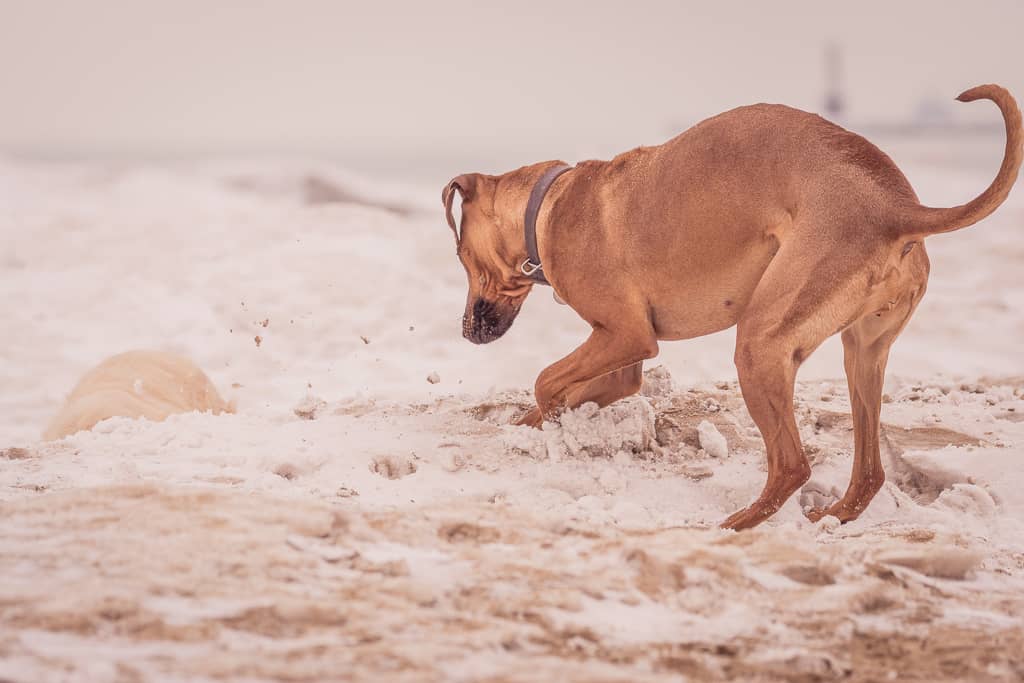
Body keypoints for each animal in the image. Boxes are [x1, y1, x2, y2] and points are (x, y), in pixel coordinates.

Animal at [444, 85, 1019, 532]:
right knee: (869, 472)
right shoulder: (620, 354)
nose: (468, 331)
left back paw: (735, 525)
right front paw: (535, 425)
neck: (548, 205)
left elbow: (546, 381)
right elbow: (573, 388)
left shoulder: (626, 334)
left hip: (760, 343)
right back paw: (833, 515)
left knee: (791, 465)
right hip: (863, 353)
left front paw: (554, 421)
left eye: (460, 255)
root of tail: (896, 208)